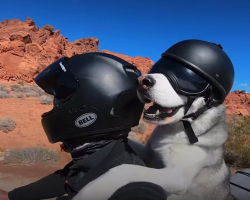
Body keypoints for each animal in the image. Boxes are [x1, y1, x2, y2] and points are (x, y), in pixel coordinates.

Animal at [73, 73, 234, 200]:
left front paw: (91, 190)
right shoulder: (149, 153)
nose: (142, 81)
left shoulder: (177, 176)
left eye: (188, 80)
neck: (177, 129)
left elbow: (127, 169)